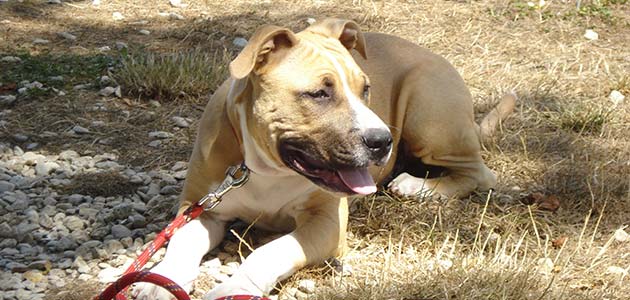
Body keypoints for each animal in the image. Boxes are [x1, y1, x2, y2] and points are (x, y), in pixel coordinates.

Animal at [132, 18, 512, 300]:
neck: (266, 169)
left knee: (479, 174)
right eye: (319, 93)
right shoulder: (201, 207)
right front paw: (158, 280)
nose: (383, 141)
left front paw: (237, 285)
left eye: (366, 89)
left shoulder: (326, 223)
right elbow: (181, 241)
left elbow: (270, 252)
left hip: (428, 115)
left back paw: (415, 185)